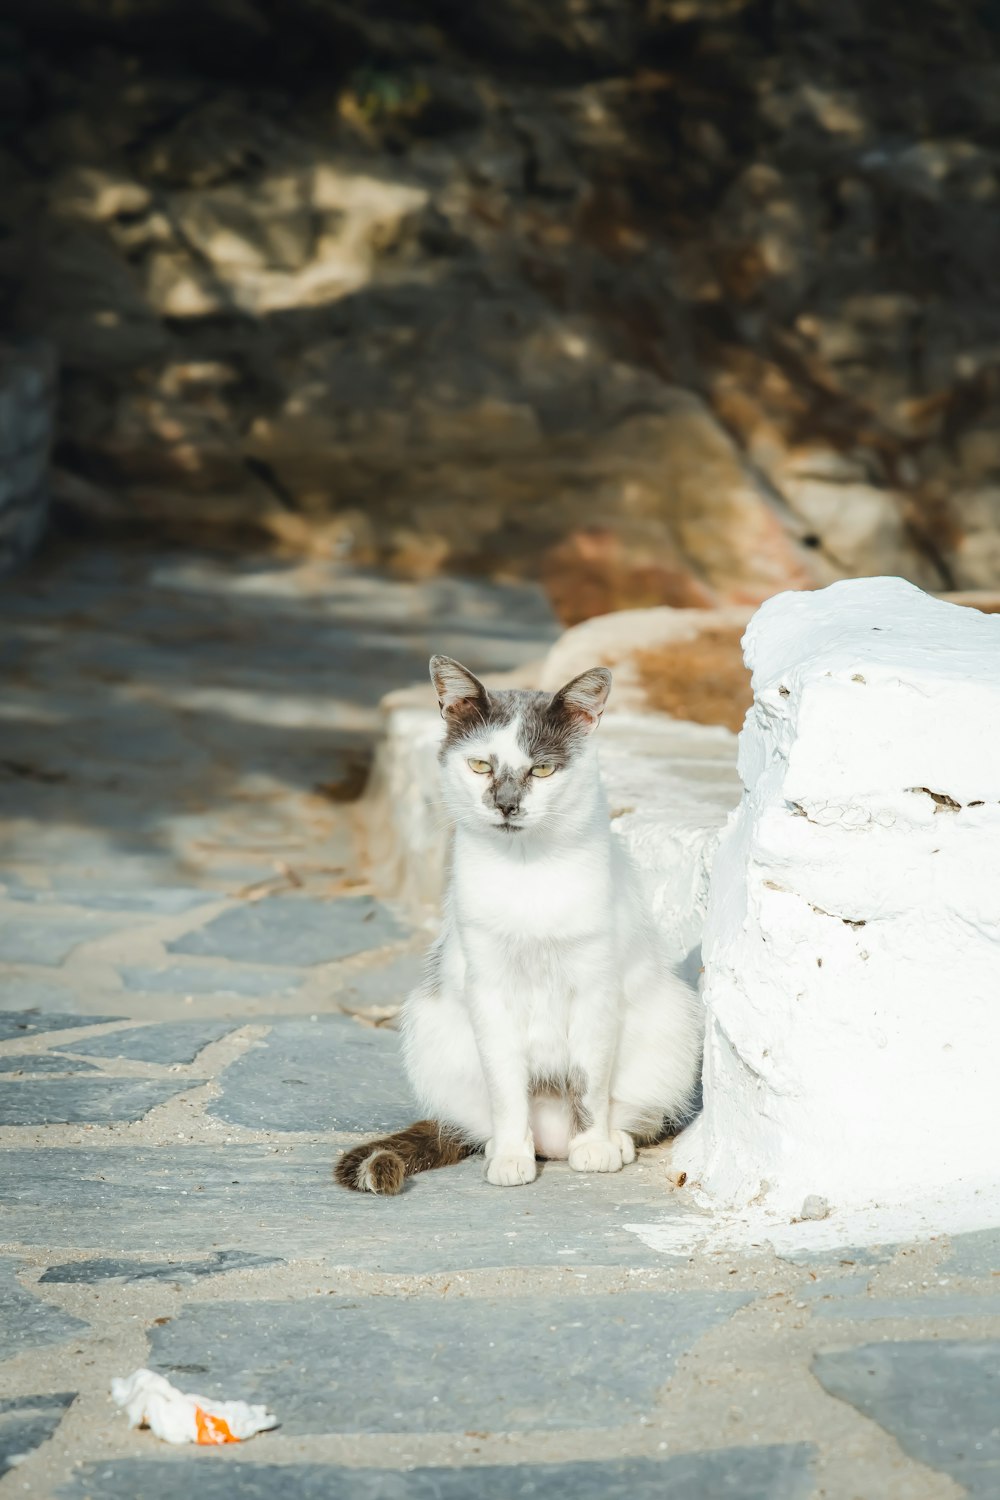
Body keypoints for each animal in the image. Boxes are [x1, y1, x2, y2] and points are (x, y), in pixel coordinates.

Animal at [335, 657, 704, 1194]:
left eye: (543, 768)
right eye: (481, 766)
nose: (506, 804)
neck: (527, 870)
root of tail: (552, 1141)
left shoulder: (596, 988)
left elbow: (590, 1083)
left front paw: (593, 1147)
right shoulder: (488, 990)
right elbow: (506, 1087)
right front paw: (511, 1156)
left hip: (670, 1023)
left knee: (634, 1110)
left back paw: (612, 1141)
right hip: (432, 1028)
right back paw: (504, 1146)